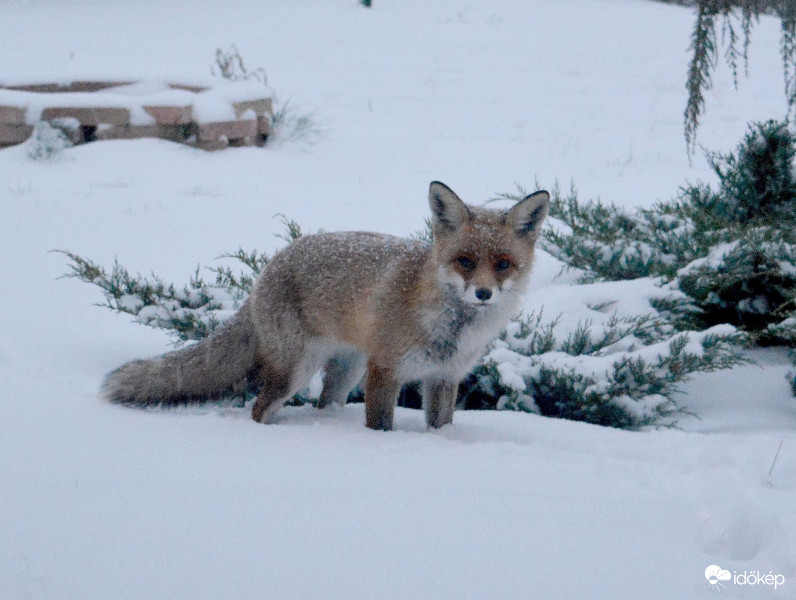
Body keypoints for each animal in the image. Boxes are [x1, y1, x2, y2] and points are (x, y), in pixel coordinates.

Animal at [102, 180, 552, 428]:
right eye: (465, 261)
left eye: (502, 264)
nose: (483, 294)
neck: (451, 328)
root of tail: (269, 265)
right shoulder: (385, 371)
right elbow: (381, 427)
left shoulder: (443, 379)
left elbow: (441, 427)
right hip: (297, 369)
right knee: (259, 408)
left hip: (345, 373)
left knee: (322, 403)